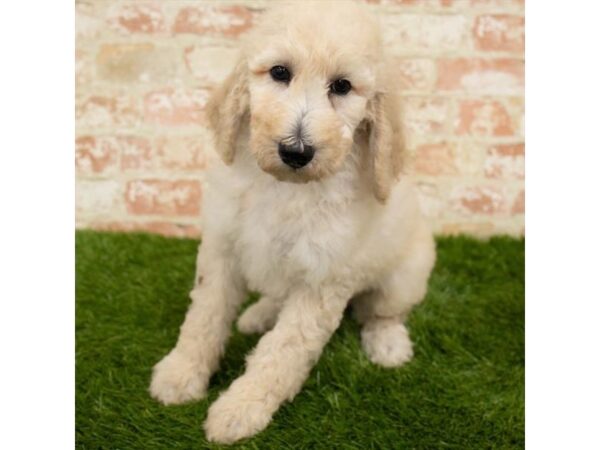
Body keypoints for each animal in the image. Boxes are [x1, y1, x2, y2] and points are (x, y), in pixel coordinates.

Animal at [148, 0, 434, 442]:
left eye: (342, 86)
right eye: (280, 72)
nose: (296, 151)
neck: (287, 186)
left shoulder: (321, 280)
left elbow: (282, 350)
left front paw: (240, 409)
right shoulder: (222, 248)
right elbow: (204, 316)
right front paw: (181, 374)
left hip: (405, 275)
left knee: (382, 312)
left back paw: (388, 344)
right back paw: (259, 314)